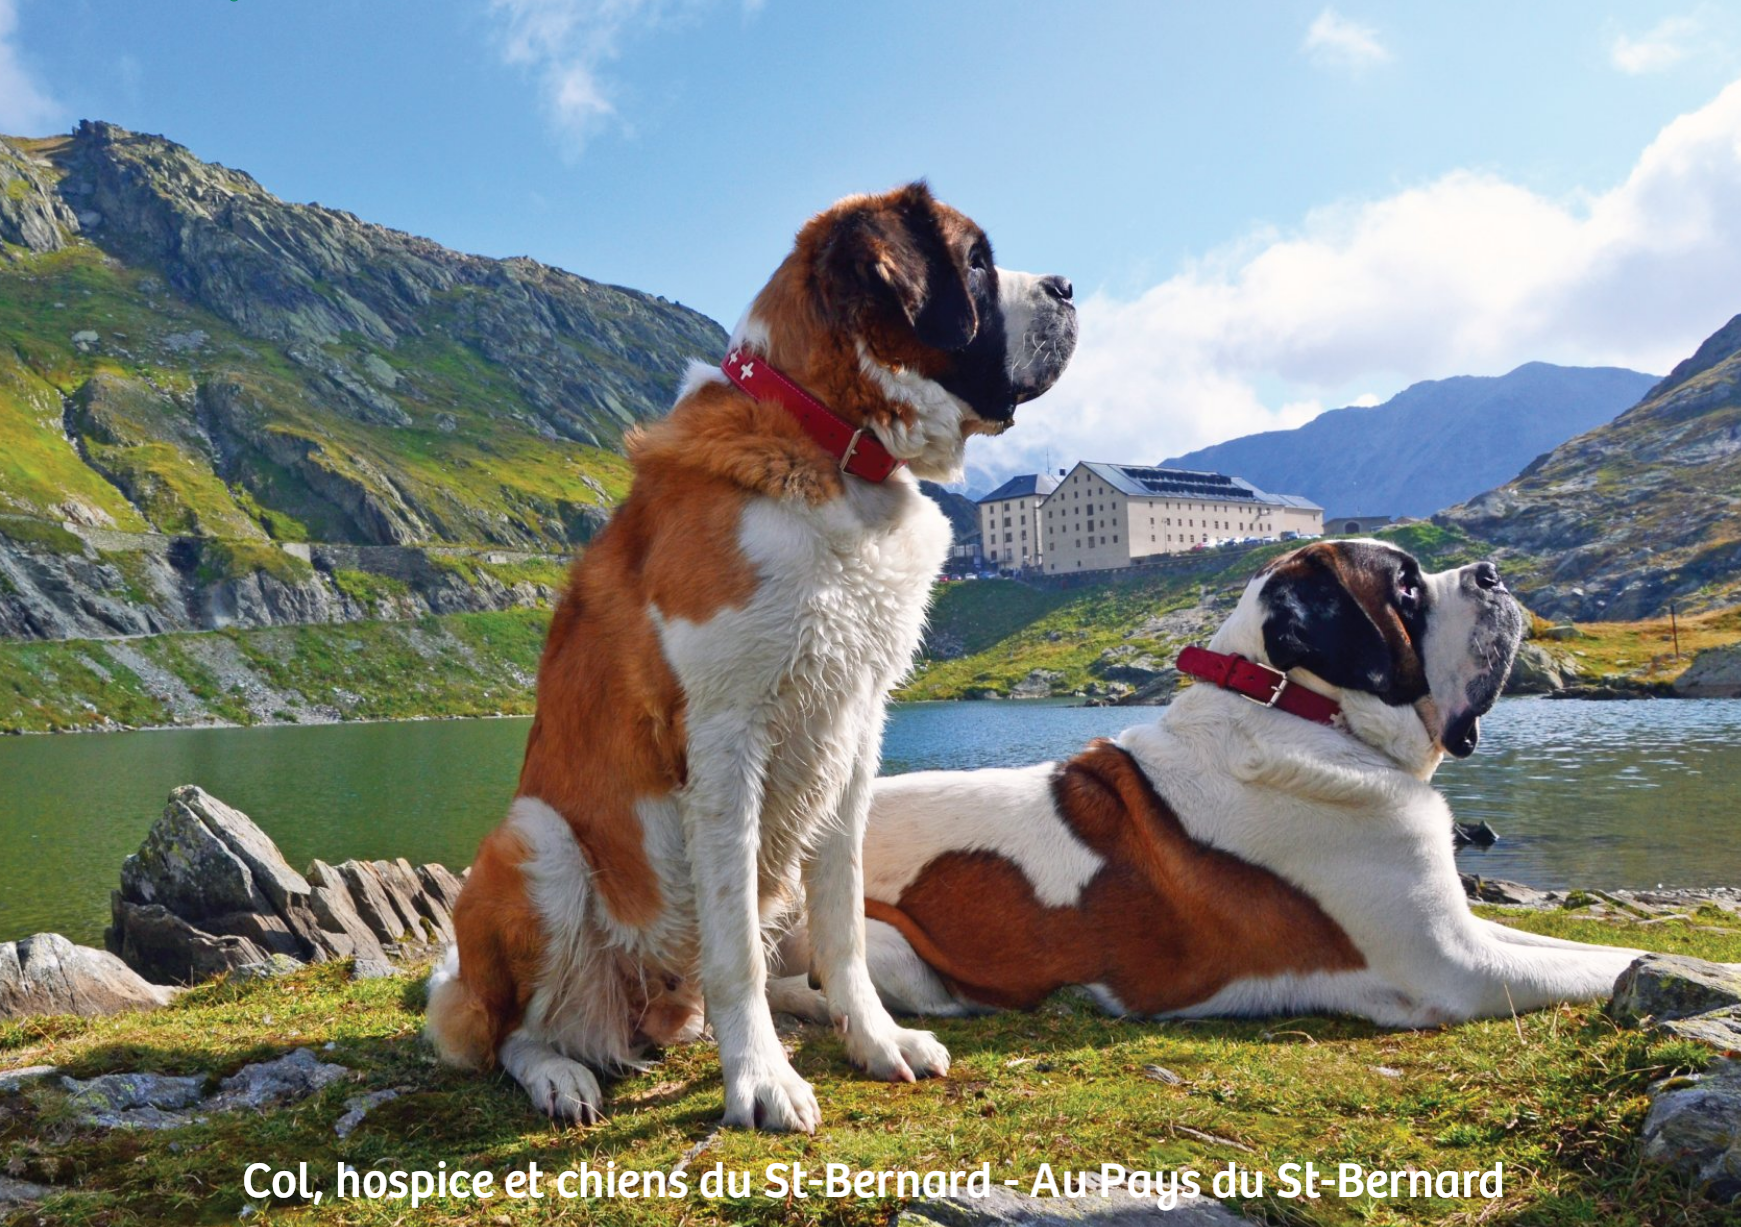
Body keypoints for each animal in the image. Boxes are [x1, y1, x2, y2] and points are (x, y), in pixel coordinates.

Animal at [423, 179, 1072, 1127]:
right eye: (977, 261)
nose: (1065, 286)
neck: (831, 440)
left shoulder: (854, 728)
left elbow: (841, 924)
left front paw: (874, 1039)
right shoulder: (727, 739)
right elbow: (737, 951)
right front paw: (762, 1079)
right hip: (533, 839)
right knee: (512, 1031)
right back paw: (560, 1075)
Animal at [783, 539, 1650, 1030]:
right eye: (1406, 589)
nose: (1491, 572)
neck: (1298, 704)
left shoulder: (1464, 926)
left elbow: (1589, 949)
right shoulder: (1454, 966)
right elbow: (1583, 967)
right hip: (888, 951)